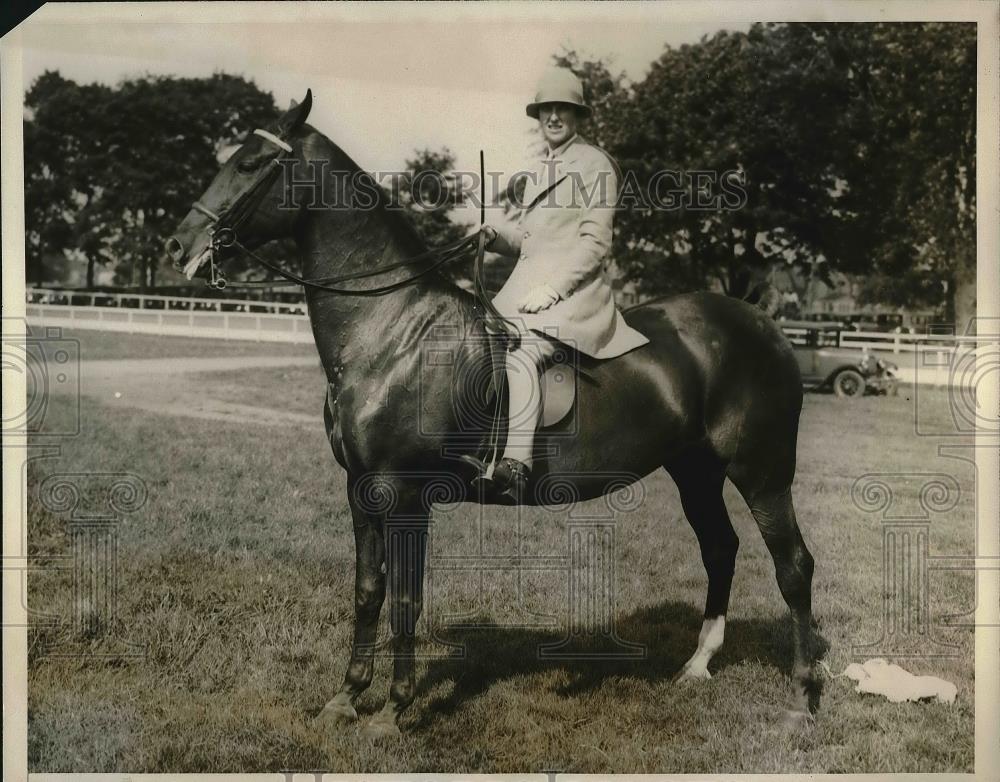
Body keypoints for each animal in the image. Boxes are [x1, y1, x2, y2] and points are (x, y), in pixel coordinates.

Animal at [166, 90, 818, 739]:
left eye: (250, 164)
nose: (178, 245)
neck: (394, 330)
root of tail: (761, 321)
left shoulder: (405, 495)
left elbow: (406, 600)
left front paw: (394, 712)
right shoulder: (361, 490)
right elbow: (369, 591)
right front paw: (346, 699)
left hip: (761, 471)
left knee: (793, 565)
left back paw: (803, 697)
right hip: (696, 470)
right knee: (720, 549)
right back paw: (698, 665)